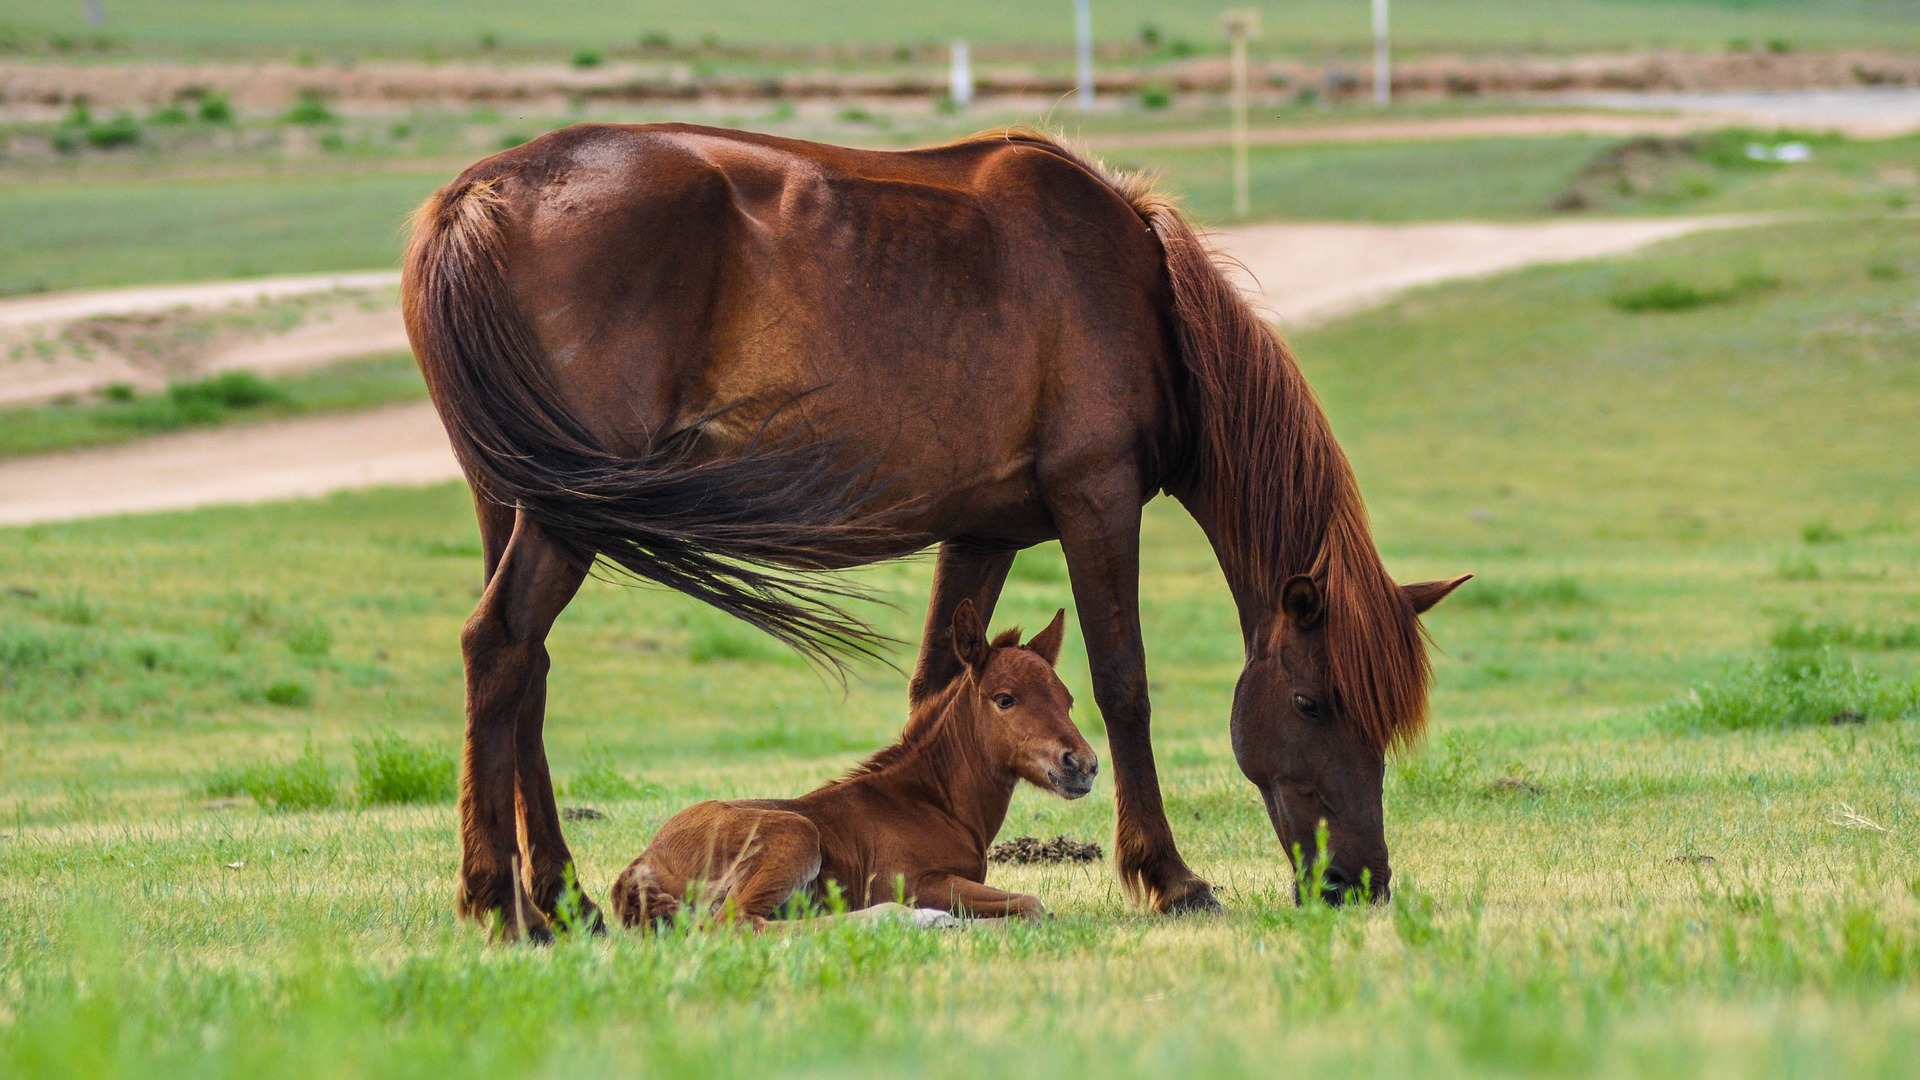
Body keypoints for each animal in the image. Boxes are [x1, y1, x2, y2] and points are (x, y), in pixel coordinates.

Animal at [609, 601, 1092, 930]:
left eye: (1068, 700)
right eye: (1004, 699)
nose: (1082, 764)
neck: (934, 803)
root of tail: (642, 864)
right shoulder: (914, 881)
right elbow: (1032, 905)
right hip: (796, 835)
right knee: (739, 923)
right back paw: (912, 919)